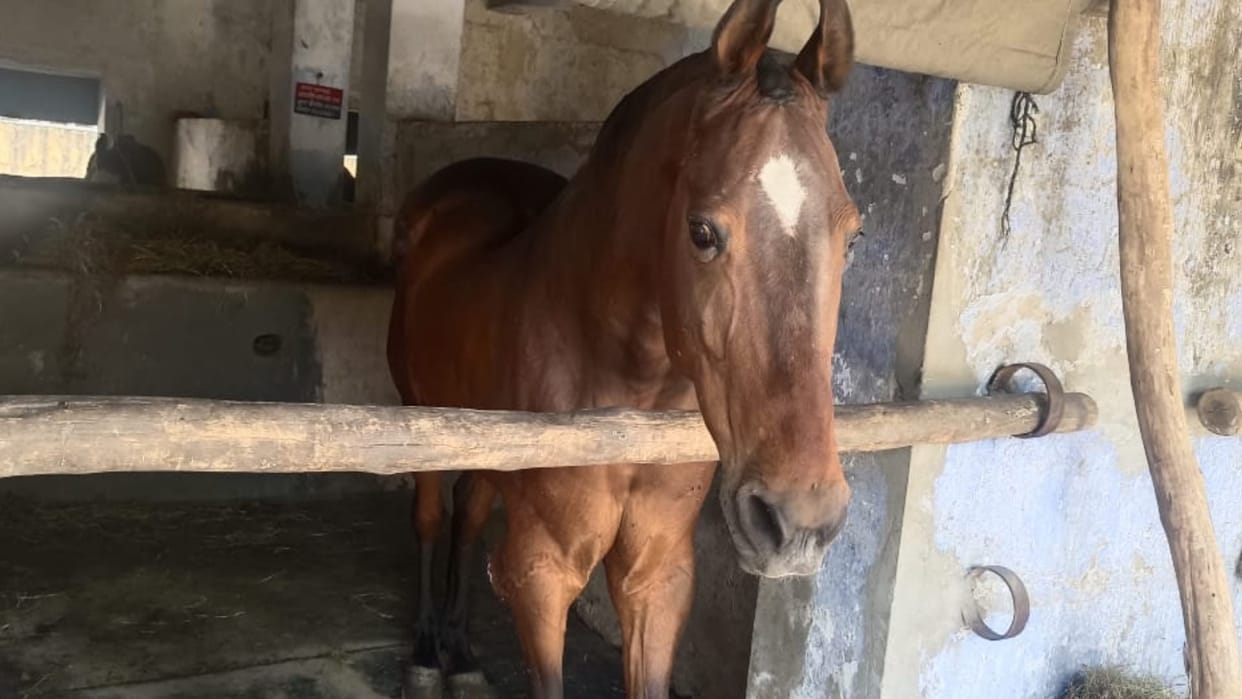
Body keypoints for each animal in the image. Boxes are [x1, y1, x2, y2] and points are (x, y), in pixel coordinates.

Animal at [386, 0, 860, 694]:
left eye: (853, 236)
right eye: (702, 231)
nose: (798, 522)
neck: (629, 391)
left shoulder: (657, 576)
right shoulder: (542, 570)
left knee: (468, 513)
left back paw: (463, 654)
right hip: (419, 418)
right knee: (426, 518)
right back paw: (425, 653)